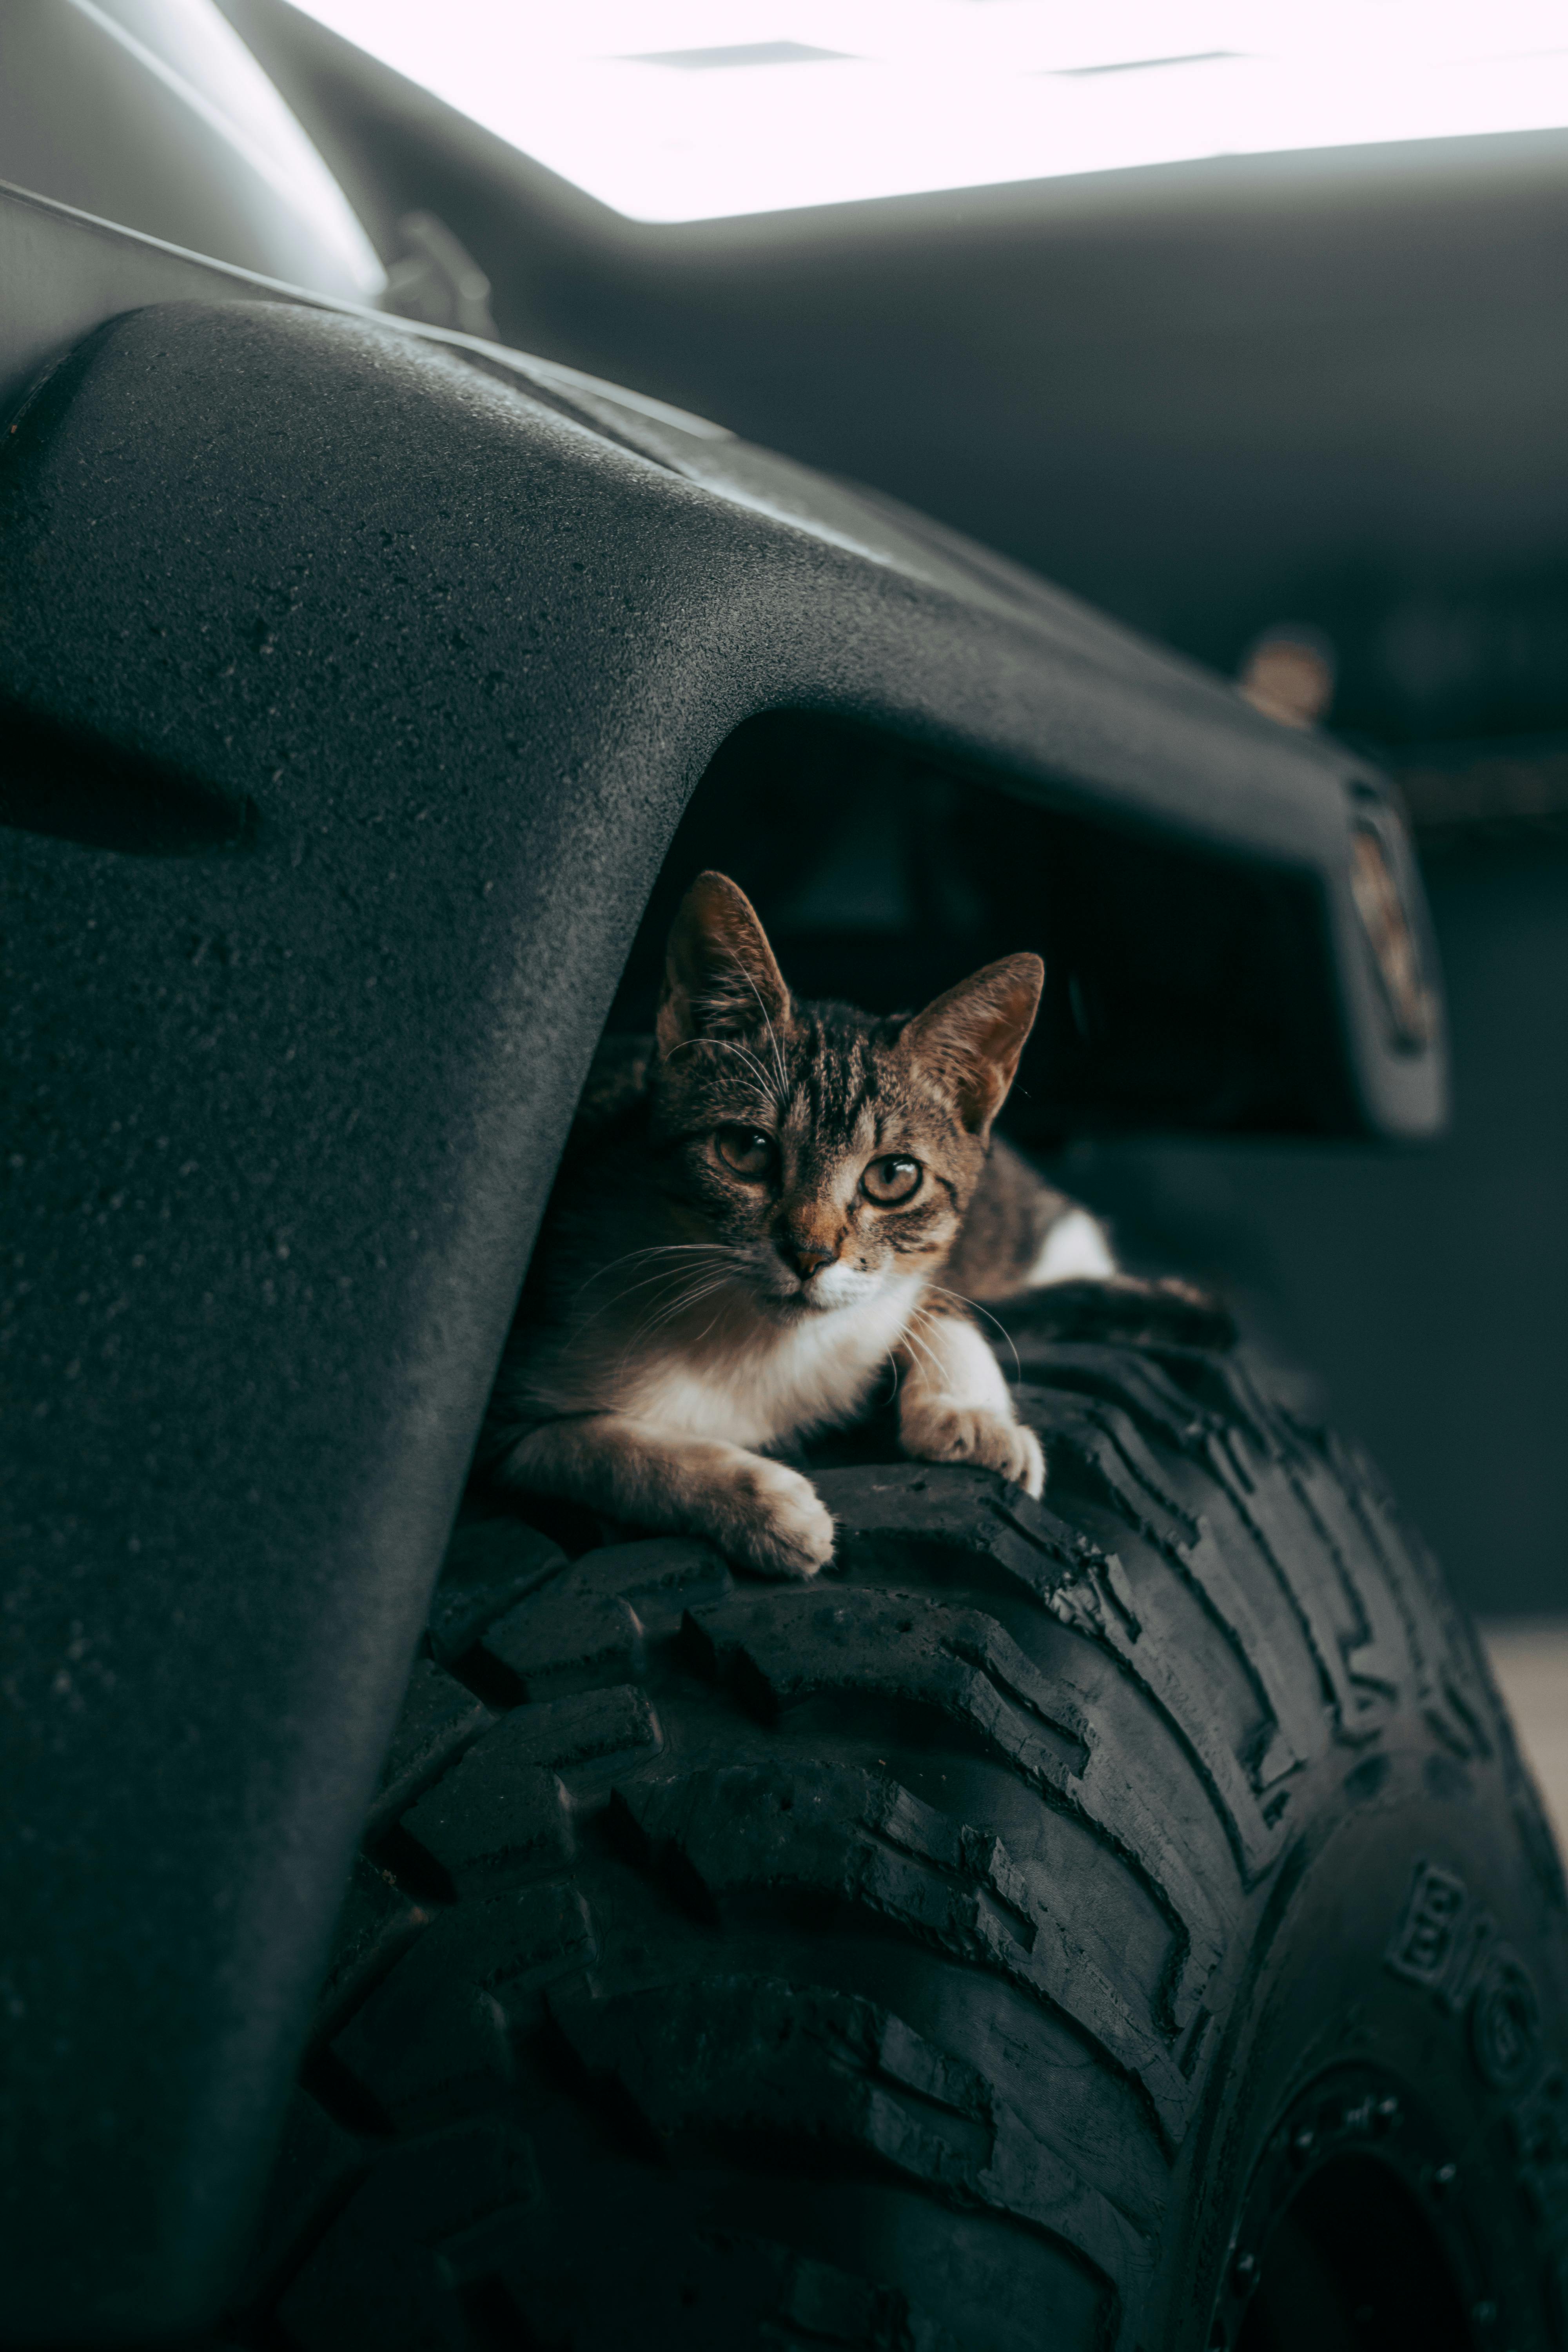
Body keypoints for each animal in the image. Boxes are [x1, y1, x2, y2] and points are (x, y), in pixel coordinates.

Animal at [479, 880, 1114, 1581]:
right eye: (746, 1149)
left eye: (894, 1176)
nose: (809, 1254)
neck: (764, 1348)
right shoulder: (503, 1425)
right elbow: (604, 1453)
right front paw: (763, 1504)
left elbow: (933, 1295)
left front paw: (970, 1412)